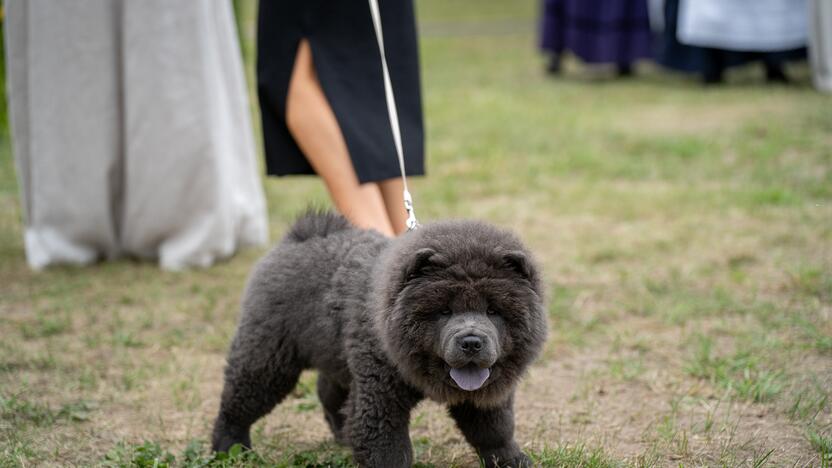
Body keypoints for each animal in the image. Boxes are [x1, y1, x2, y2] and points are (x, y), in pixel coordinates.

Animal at [211, 212, 544, 468]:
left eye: (493, 311)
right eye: (444, 311)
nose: (471, 341)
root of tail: (298, 237)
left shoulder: (486, 397)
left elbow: (495, 430)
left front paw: (512, 460)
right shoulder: (381, 395)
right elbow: (387, 449)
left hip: (340, 360)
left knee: (329, 392)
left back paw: (340, 435)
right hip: (269, 358)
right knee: (237, 403)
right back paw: (229, 449)